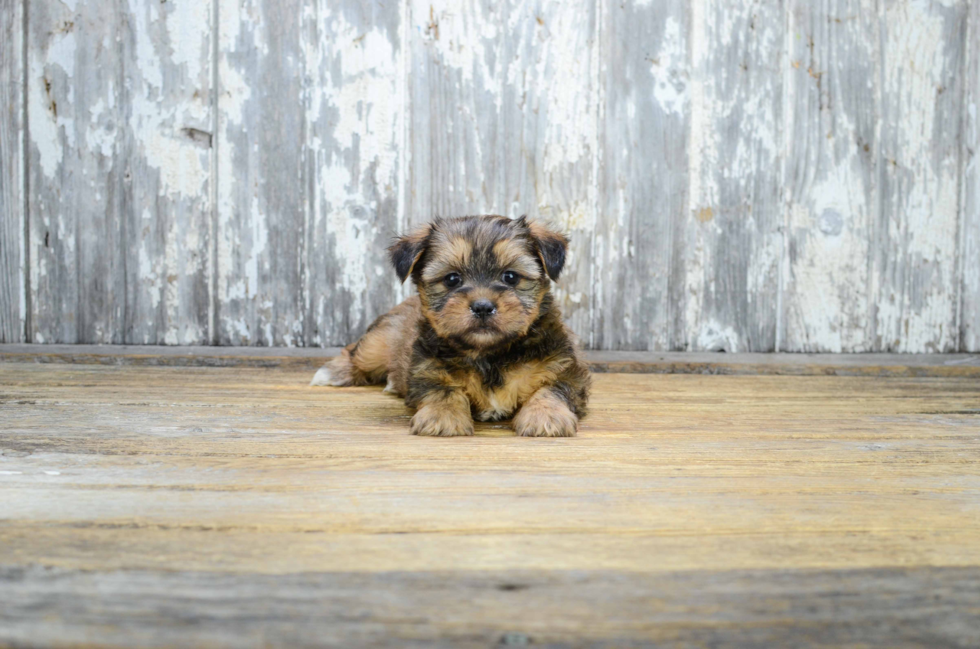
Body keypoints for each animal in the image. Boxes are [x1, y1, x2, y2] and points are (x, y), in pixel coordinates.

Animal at [314, 215, 588, 438]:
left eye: (510, 277)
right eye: (452, 279)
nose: (482, 306)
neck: (489, 353)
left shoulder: (564, 368)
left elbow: (552, 388)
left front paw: (546, 416)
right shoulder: (427, 368)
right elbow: (443, 389)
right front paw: (442, 416)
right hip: (379, 342)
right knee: (358, 353)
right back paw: (336, 372)